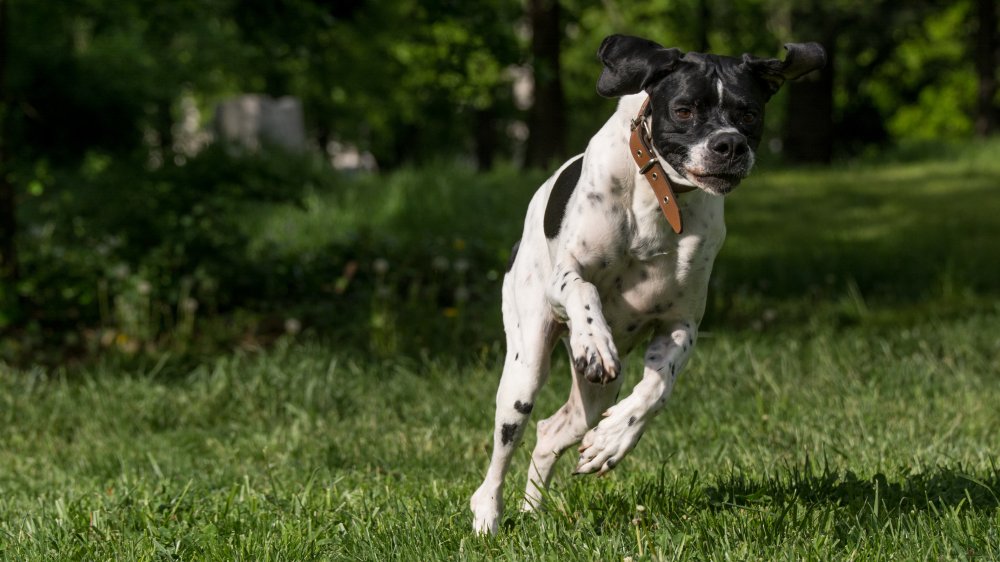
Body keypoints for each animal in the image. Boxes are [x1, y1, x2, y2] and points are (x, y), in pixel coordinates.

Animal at [472, 32, 824, 532]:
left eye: (749, 113)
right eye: (683, 110)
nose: (729, 145)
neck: (660, 195)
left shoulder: (680, 325)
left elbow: (658, 388)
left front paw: (614, 439)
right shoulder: (568, 276)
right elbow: (582, 288)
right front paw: (595, 339)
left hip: (597, 394)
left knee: (550, 431)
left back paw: (534, 509)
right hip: (524, 370)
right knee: (507, 443)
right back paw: (488, 516)